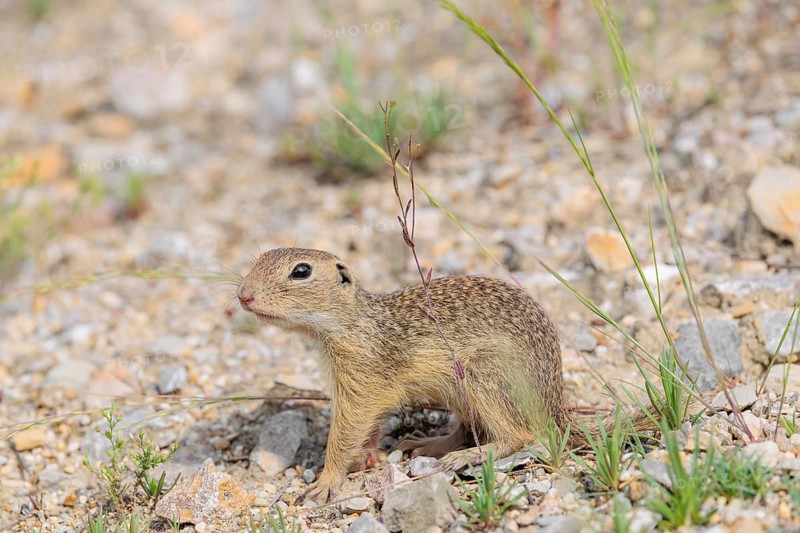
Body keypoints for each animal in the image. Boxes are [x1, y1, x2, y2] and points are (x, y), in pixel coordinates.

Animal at [238, 247, 653, 503]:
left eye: (301, 271)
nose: (243, 295)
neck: (354, 322)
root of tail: (557, 404)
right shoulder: (368, 389)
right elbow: (370, 427)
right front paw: (366, 457)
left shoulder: (361, 383)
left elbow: (345, 433)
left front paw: (324, 482)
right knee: (469, 429)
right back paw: (428, 445)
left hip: (484, 376)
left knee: (518, 435)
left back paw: (460, 458)